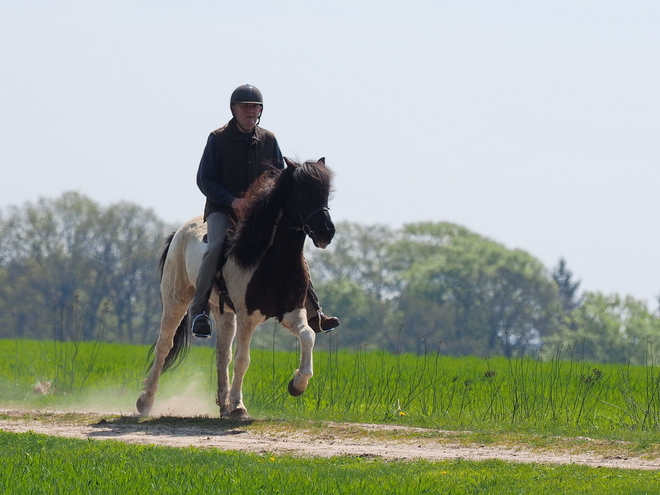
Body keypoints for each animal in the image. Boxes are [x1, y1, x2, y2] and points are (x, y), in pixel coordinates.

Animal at [135, 158, 336, 418]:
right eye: (302, 192)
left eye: (326, 193)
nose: (327, 233)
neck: (271, 259)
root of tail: (179, 231)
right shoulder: (247, 317)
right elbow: (243, 360)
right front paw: (239, 406)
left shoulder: (292, 312)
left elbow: (308, 335)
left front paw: (297, 384)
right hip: (175, 300)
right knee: (164, 346)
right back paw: (145, 401)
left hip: (223, 313)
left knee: (222, 354)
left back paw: (223, 405)